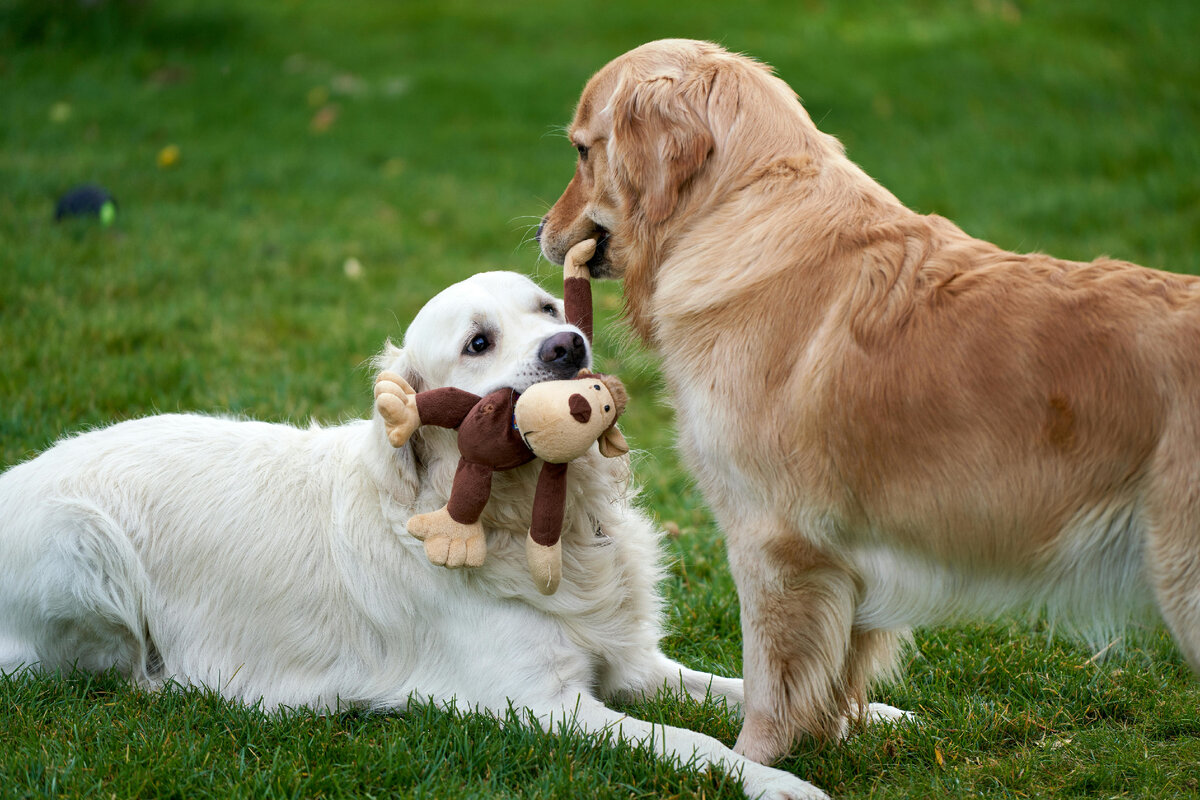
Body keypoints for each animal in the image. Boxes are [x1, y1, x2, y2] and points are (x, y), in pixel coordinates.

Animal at [0, 271, 864, 800]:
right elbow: (692, 744)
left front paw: (866, 716)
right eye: (478, 343)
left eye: (548, 309)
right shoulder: (541, 703)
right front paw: (779, 783)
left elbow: (738, 688)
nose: (569, 348)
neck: (535, 522)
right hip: (84, 547)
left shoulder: (630, 662)